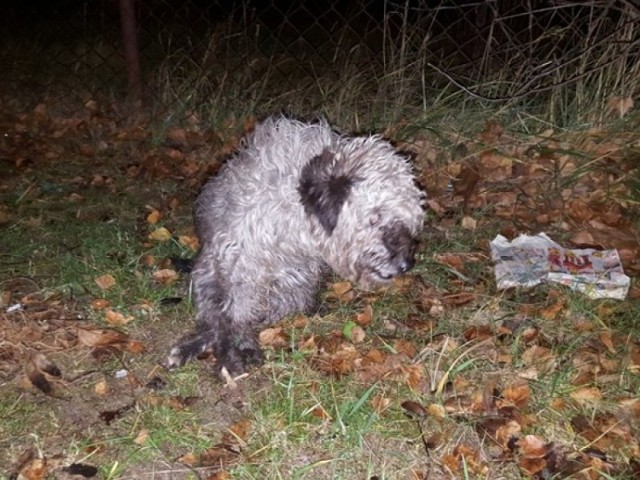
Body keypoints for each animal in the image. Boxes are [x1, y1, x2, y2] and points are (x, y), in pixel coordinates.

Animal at [169, 115, 424, 376]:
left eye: (407, 218)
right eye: (374, 217)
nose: (406, 263)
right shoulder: (239, 268)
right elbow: (229, 317)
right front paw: (230, 353)